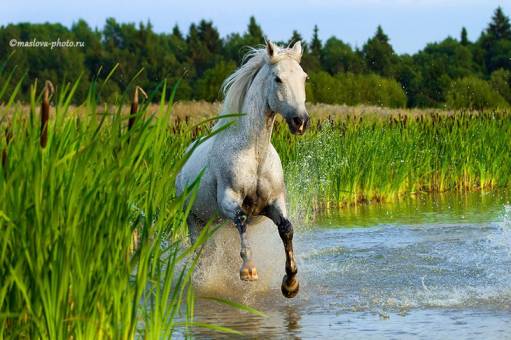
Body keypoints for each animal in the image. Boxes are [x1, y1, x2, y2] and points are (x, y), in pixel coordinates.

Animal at [178, 39, 310, 298]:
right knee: (202, 252)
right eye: (278, 79)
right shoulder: (228, 201)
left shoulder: (273, 202)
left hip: (216, 223)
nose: (300, 122)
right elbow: (241, 220)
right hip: (195, 220)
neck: (255, 155)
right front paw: (248, 271)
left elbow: (286, 229)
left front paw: (290, 283)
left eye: (304, 77)